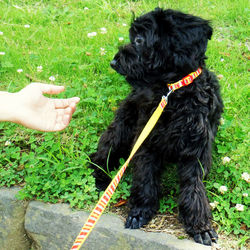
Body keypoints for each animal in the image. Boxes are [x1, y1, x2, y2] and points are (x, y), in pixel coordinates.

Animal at [90, 7, 223, 246]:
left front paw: (200, 225)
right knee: (102, 153)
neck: (173, 93)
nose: (113, 63)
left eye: (140, 39)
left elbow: (193, 187)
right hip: (121, 128)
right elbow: (145, 176)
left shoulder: (195, 151)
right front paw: (140, 210)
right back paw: (100, 177)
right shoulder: (147, 141)